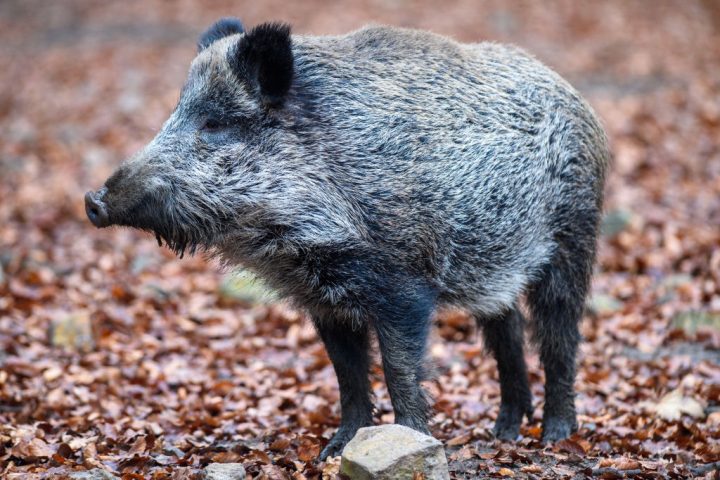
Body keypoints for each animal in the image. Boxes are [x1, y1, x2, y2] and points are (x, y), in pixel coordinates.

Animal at [85, 18, 610, 459]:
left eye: (215, 123)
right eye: (175, 112)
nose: (93, 200)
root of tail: (577, 98)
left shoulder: (404, 285)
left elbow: (400, 370)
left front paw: (411, 441)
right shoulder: (324, 299)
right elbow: (348, 377)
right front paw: (334, 451)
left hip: (574, 235)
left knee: (560, 335)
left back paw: (555, 436)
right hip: (493, 268)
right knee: (508, 331)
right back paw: (504, 432)